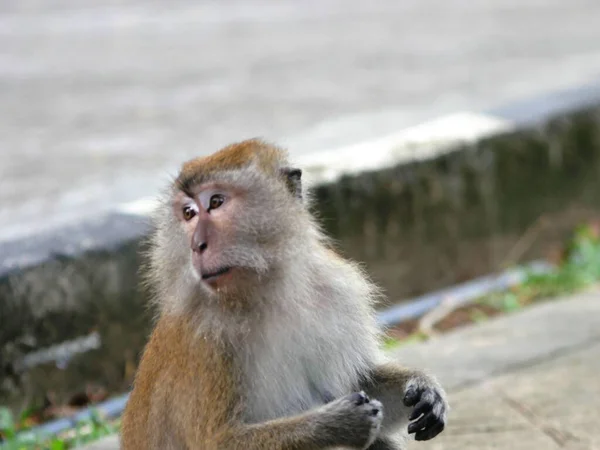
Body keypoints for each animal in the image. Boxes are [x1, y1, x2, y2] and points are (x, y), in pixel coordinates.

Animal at [119, 139, 448, 448]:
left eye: (215, 202)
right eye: (188, 213)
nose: (196, 245)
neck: (269, 289)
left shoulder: (337, 290)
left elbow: (360, 380)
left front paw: (423, 388)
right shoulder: (205, 340)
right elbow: (218, 442)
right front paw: (337, 423)